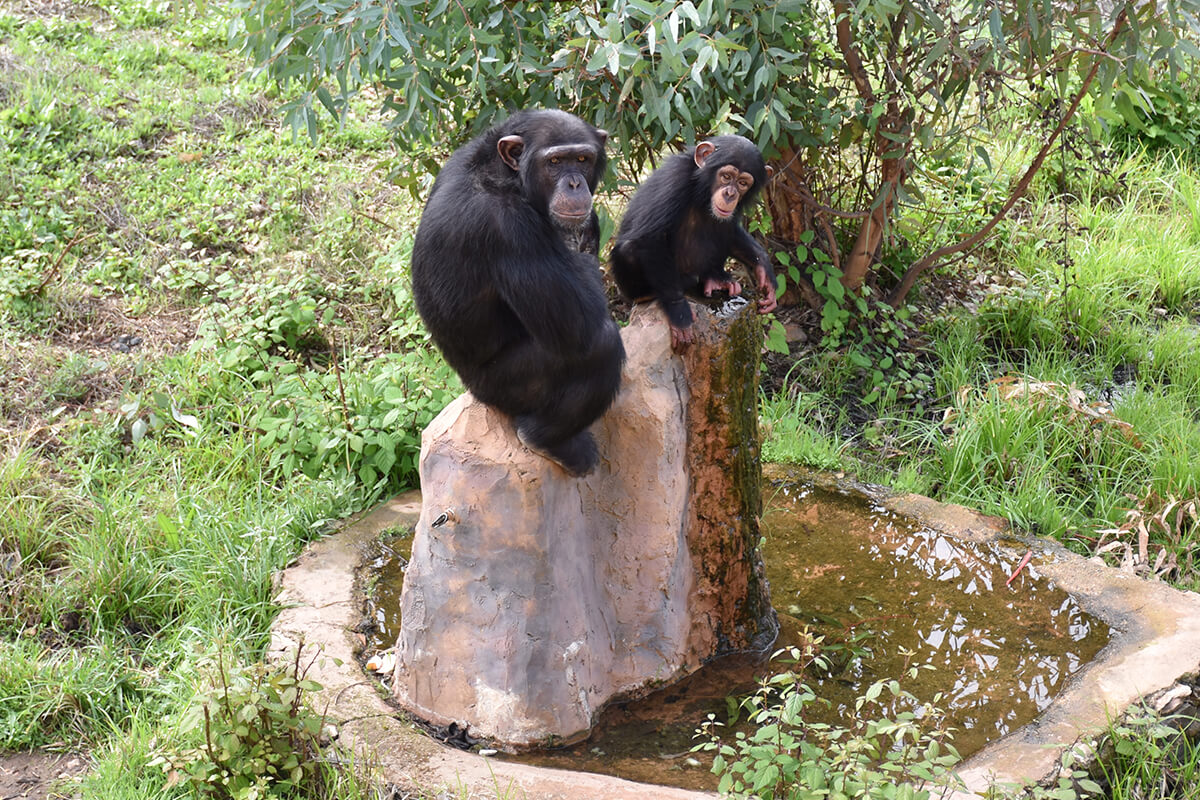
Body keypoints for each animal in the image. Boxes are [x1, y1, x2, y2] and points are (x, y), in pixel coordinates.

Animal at [410, 109, 624, 479]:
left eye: (582, 159)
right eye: (555, 162)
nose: (574, 183)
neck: (506, 178)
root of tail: (472, 390)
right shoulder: (510, 230)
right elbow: (578, 328)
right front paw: (583, 233)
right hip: (507, 388)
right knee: (601, 344)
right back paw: (548, 440)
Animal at [609, 134, 777, 350]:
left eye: (742, 182)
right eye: (726, 176)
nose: (730, 194)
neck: (701, 189)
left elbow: (731, 230)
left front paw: (765, 271)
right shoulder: (674, 179)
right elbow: (650, 238)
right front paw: (679, 313)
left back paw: (715, 279)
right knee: (630, 249)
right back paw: (649, 294)